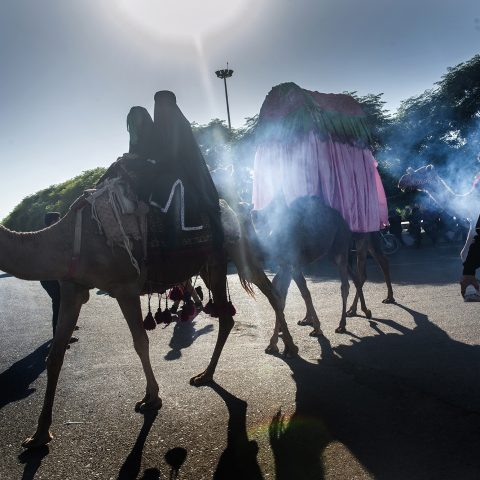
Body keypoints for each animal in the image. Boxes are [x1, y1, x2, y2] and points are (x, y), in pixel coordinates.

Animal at [1, 185, 296, 450]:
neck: (63, 240)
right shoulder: (72, 288)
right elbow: (55, 355)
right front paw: (39, 435)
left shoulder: (124, 287)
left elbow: (140, 342)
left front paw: (151, 398)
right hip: (210, 261)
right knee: (234, 313)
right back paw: (210, 373)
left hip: (235, 248)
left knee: (270, 293)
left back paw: (285, 347)